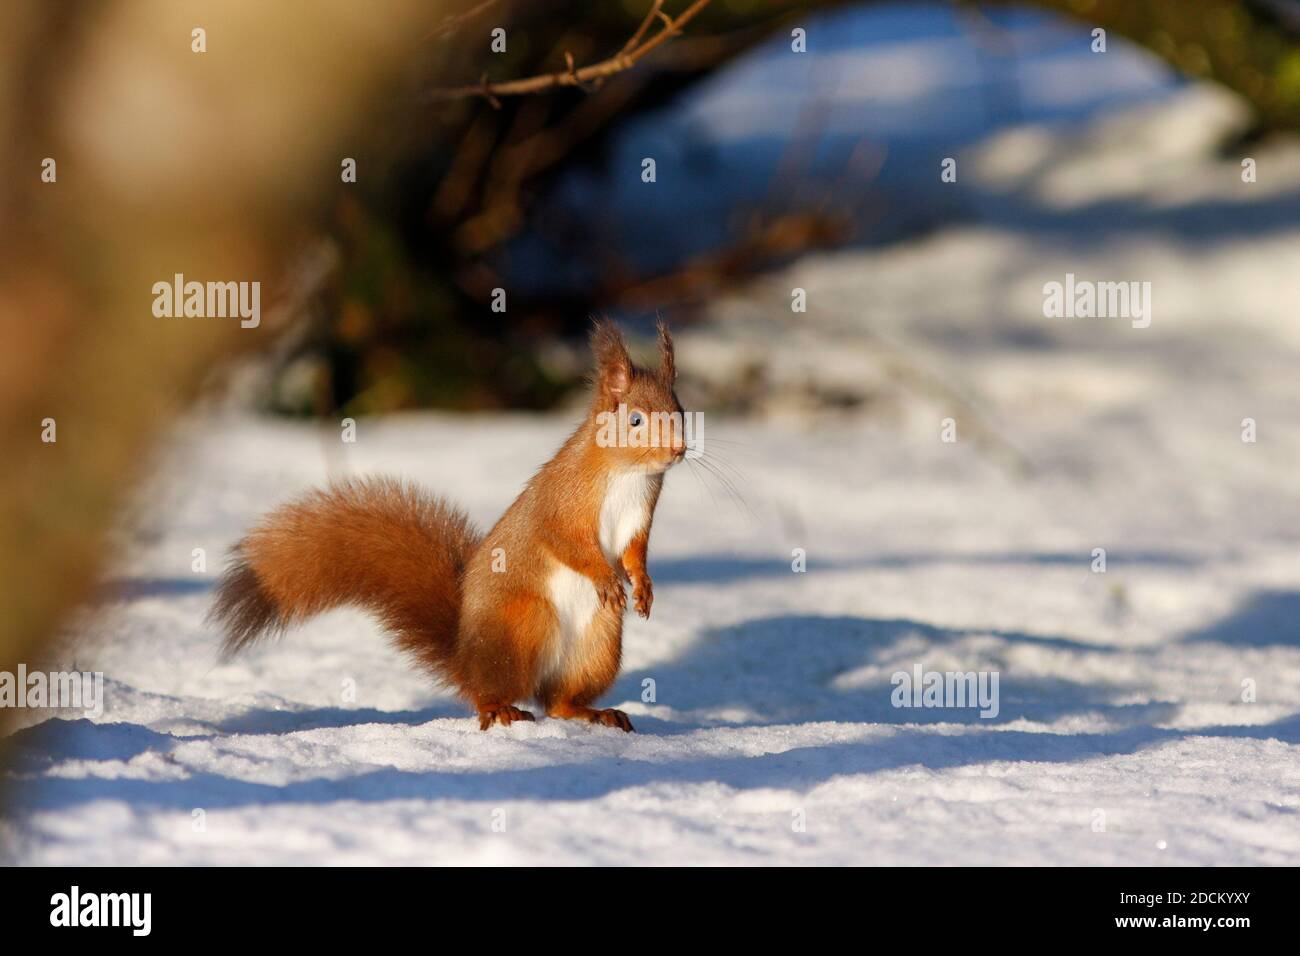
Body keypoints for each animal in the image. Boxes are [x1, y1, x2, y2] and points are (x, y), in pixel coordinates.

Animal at [208, 321, 686, 733]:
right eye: (636, 420)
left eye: (681, 411)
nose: (678, 451)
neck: (626, 475)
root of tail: (465, 658)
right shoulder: (562, 502)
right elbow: (566, 542)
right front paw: (606, 578)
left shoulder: (640, 514)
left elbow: (635, 551)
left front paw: (642, 587)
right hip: (522, 625)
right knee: (491, 694)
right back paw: (500, 710)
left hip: (597, 645)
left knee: (556, 702)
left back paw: (595, 713)